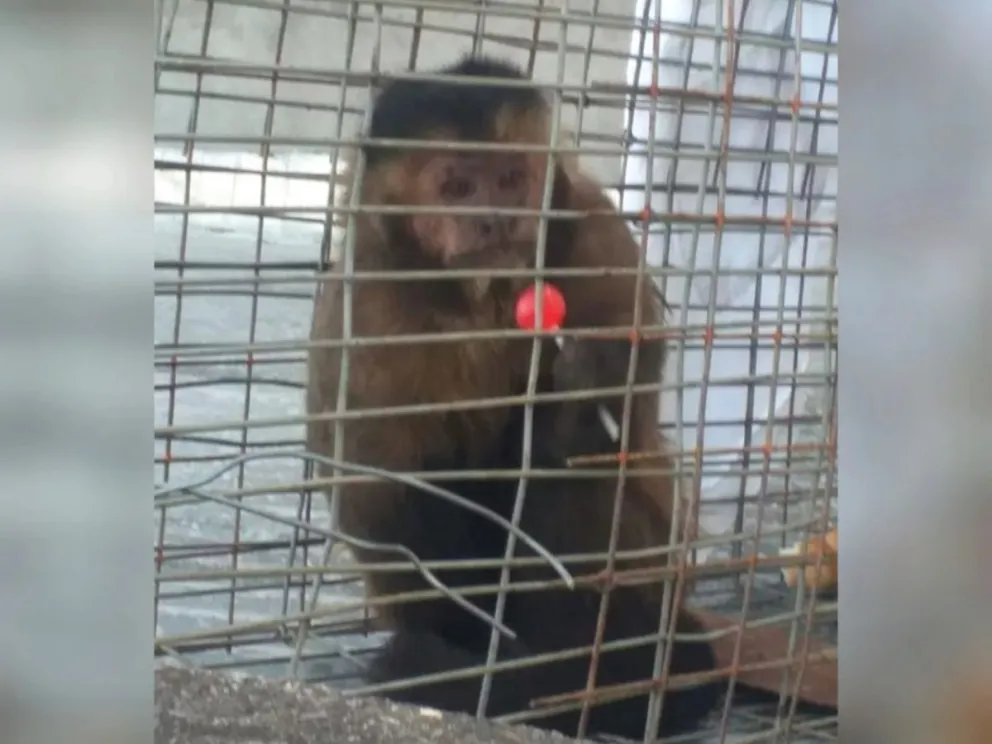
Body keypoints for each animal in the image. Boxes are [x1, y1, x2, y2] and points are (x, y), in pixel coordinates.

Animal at [306, 55, 722, 740]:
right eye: (458, 188)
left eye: (508, 179)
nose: (494, 220)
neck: (485, 296)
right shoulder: (367, 300)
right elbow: (383, 481)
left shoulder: (594, 235)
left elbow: (619, 415)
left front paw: (591, 379)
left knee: (570, 477)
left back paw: (588, 663)